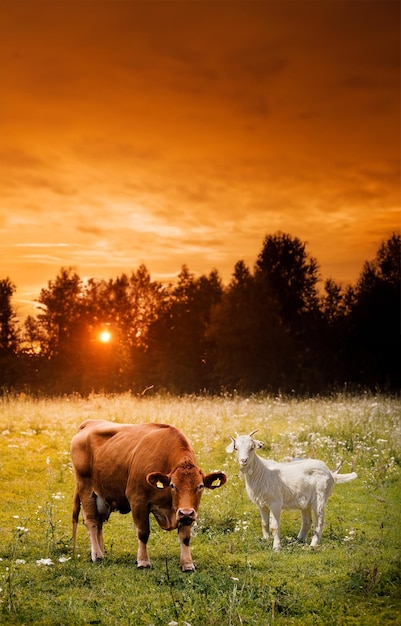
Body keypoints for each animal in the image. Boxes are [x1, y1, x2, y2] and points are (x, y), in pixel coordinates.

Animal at [70, 420, 227, 572]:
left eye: (200, 486)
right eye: (172, 485)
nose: (186, 512)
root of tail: (89, 423)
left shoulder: (184, 511)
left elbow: (185, 537)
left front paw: (187, 564)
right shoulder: (138, 500)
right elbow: (143, 533)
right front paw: (143, 561)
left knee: (99, 523)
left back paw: (100, 551)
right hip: (86, 488)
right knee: (91, 521)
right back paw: (97, 555)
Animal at [225, 432, 356, 548]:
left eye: (252, 447)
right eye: (236, 448)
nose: (243, 461)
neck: (262, 472)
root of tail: (331, 473)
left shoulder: (275, 503)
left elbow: (274, 526)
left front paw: (276, 547)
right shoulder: (261, 504)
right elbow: (264, 524)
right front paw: (266, 541)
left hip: (320, 496)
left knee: (319, 521)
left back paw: (313, 545)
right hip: (306, 502)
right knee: (307, 521)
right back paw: (299, 540)